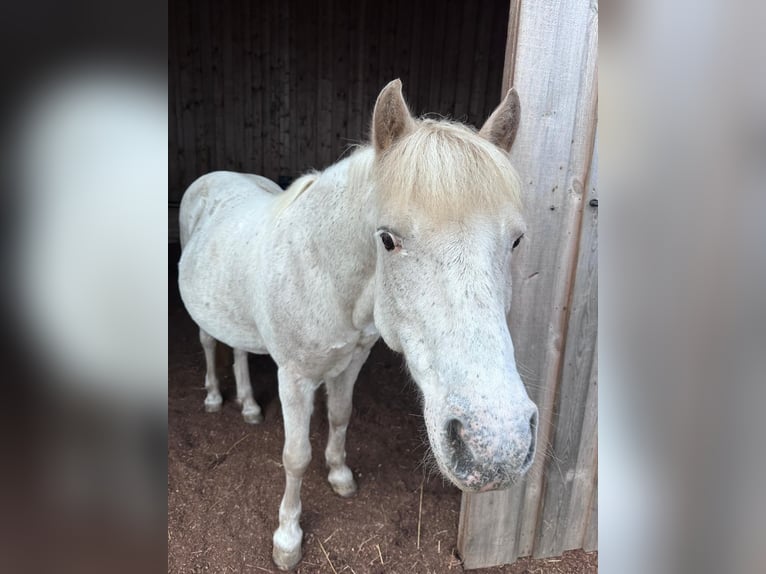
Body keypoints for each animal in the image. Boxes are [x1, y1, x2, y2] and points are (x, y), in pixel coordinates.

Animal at [177, 79, 538, 570]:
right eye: (387, 239)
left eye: (516, 240)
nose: (496, 448)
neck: (323, 275)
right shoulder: (294, 377)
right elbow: (295, 456)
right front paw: (287, 539)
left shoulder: (352, 361)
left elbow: (341, 416)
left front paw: (340, 475)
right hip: (204, 321)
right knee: (209, 343)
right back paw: (215, 398)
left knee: (237, 349)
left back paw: (249, 406)